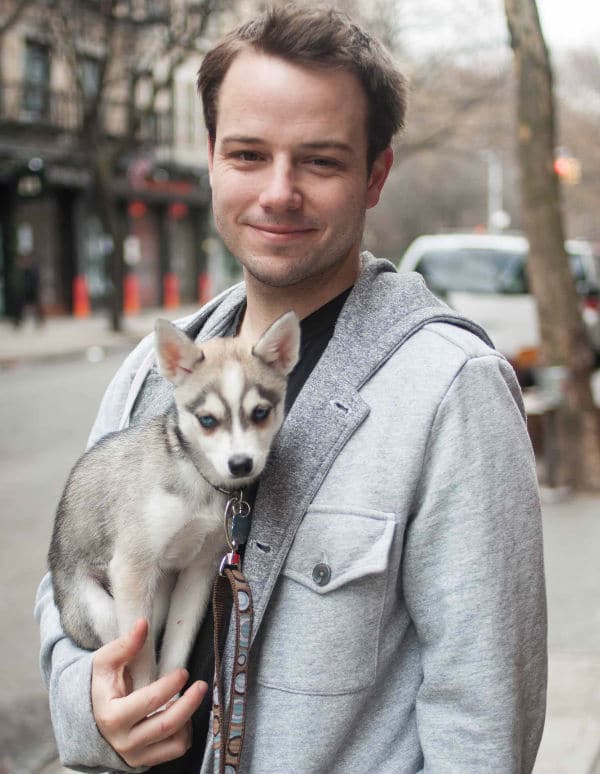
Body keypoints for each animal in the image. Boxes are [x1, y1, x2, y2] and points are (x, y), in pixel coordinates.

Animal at [48, 314, 298, 692]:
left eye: (260, 413)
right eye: (207, 420)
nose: (241, 464)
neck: (198, 479)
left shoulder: (200, 570)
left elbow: (177, 645)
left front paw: (168, 693)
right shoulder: (132, 568)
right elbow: (140, 657)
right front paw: (148, 699)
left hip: (160, 592)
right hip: (101, 610)